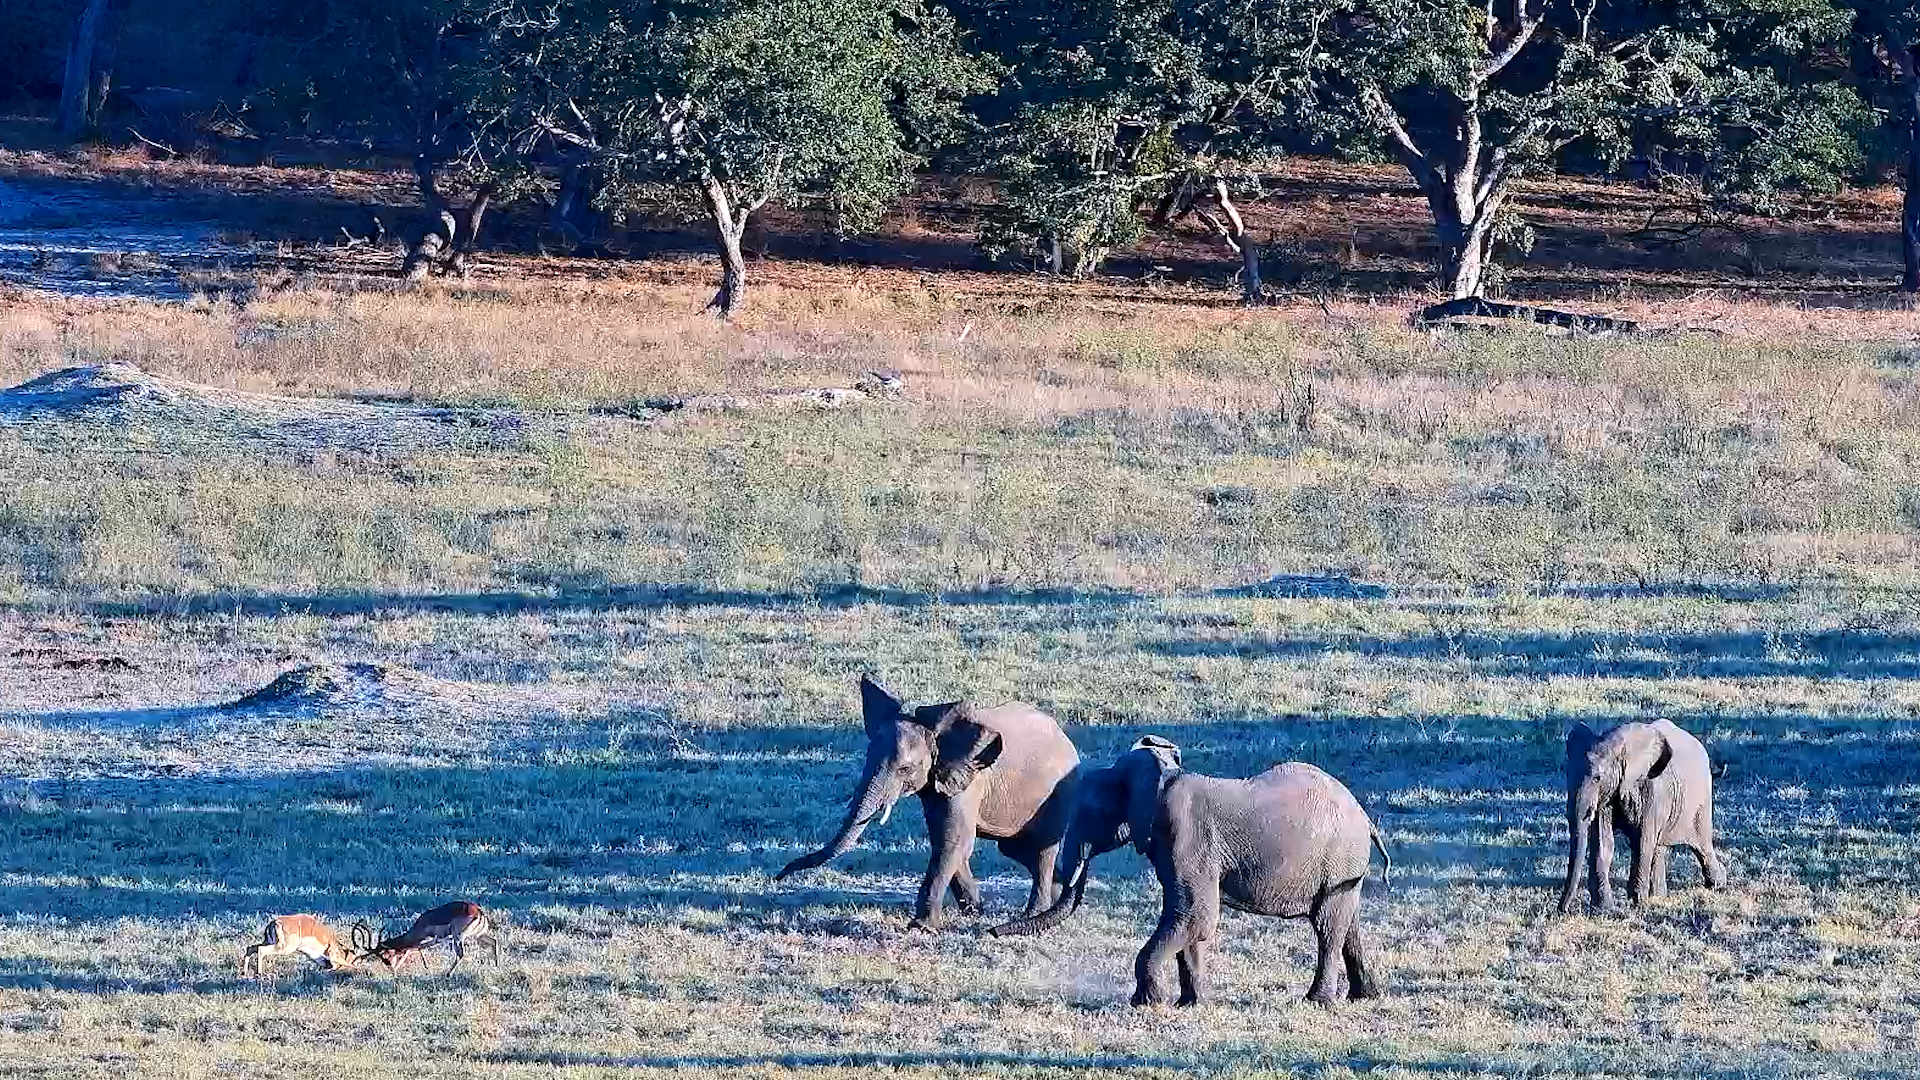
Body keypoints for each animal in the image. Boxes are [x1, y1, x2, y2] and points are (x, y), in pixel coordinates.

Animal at [364, 901, 502, 975]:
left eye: (384, 956)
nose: (390, 967)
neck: (421, 924)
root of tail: (479, 912)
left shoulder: (436, 939)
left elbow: (414, 948)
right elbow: (414, 948)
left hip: (458, 937)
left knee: (461, 954)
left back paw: (448, 974)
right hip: (478, 935)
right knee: (494, 941)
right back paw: (496, 965)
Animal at [775, 675, 1080, 930]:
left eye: (904, 769)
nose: (780, 875)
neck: (938, 735)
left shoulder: (968, 781)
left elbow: (953, 840)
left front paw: (921, 927)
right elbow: (946, 840)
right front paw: (974, 911)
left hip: (1060, 794)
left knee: (1041, 851)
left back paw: (1033, 915)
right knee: (1016, 849)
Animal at [992, 736, 1390, 1007]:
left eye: (1088, 813)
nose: (992, 931)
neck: (1161, 776)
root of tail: (1365, 818)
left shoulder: (1186, 836)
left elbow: (1195, 915)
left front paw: (1147, 1003)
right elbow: (1188, 919)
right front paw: (1190, 1004)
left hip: (1339, 859)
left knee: (1326, 927)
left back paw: (1316, 1001)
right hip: (1344, 868)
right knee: (1346, 924)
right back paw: (1363, 996)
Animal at [1558, 719, 1727, 914]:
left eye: (1597, 778)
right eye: (1567, 775)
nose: (1563, 909)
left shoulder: (1651, 788)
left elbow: (1642, 842)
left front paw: (1638, 904)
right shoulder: (1606, 796)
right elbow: (1603, 844)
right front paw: (1603, 909)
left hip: (1700, 802)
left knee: (1702, 844)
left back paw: (1718, 884)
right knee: (1659, 848)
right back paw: (1659, 896)